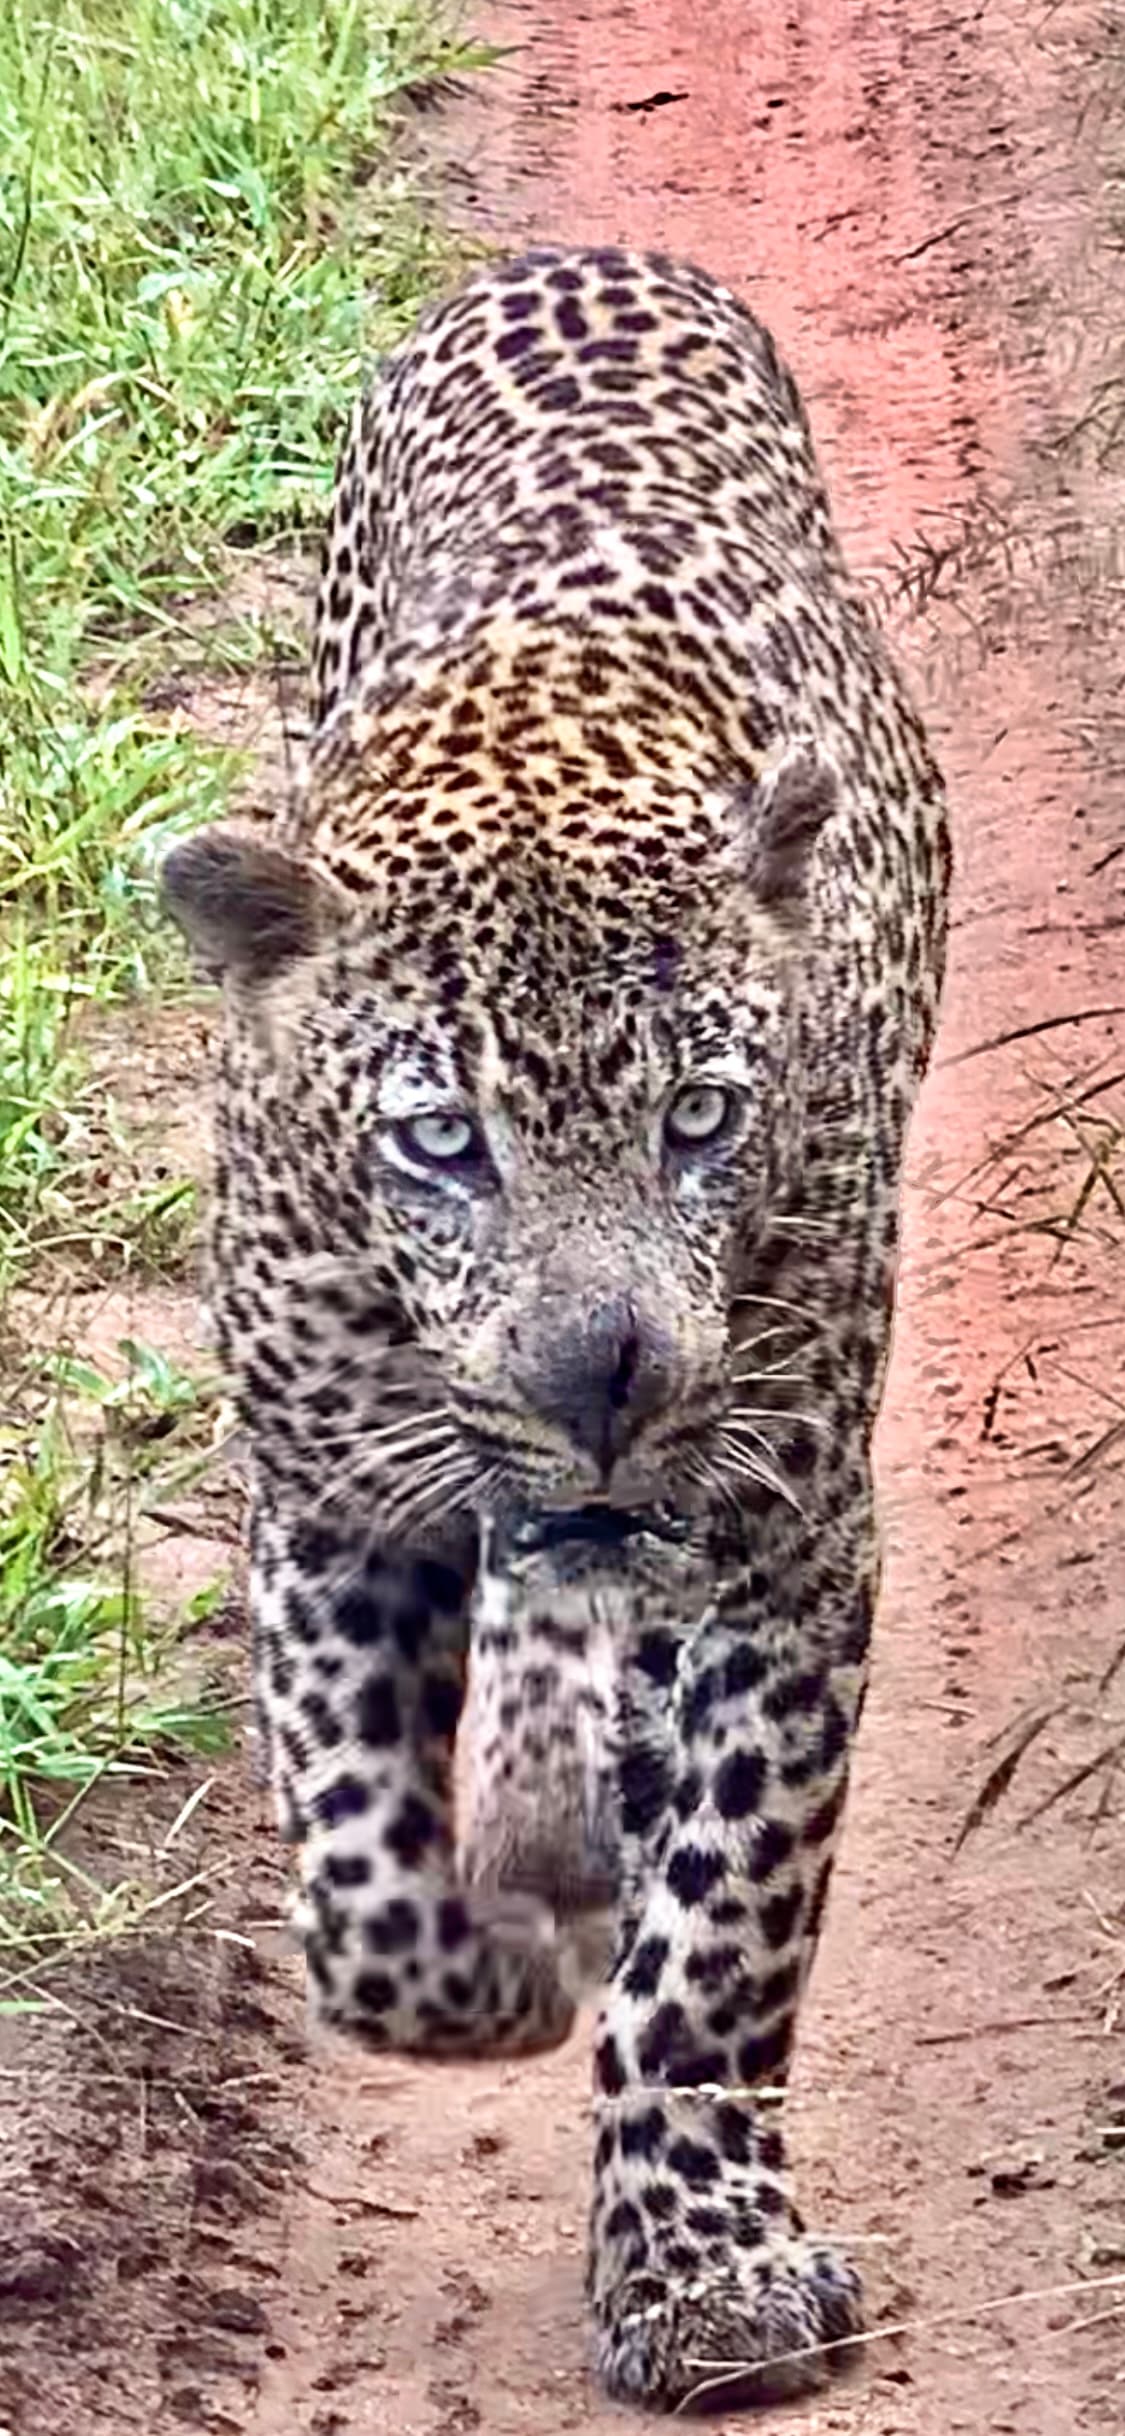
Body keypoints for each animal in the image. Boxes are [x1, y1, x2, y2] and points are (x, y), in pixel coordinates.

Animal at [162, 242, 951, 2411]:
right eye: (443, 1142)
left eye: (702, 1118)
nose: (606, 1375)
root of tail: (574, 255)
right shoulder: (333, 1498)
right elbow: (355, 1875)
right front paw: (491, 1976)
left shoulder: (787, 1537)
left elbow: (725, 1934)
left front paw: (699, 2271)